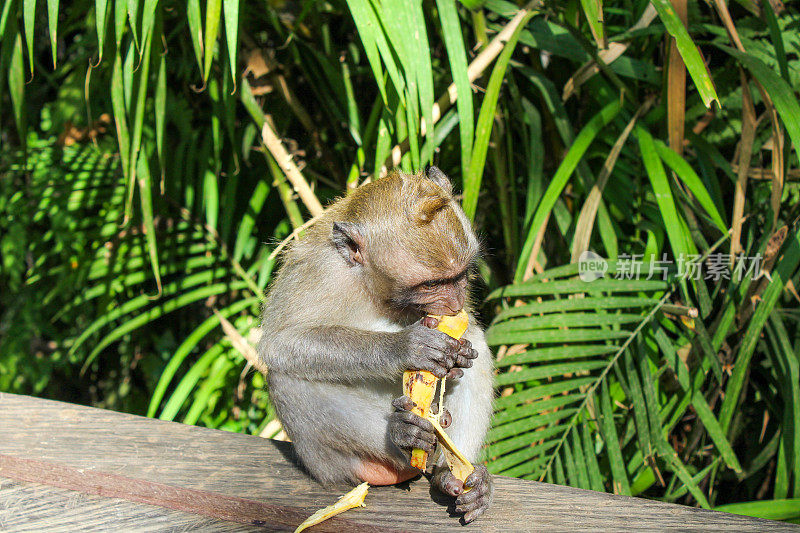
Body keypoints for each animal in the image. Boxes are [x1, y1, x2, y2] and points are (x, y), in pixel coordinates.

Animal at [258, 166, 494, 524]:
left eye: (461, 275)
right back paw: (402, 437)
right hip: (328, 466)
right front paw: (405, 347)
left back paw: (456, 476)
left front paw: (458, 359)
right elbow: (280, 342)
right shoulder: (321, 270)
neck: (374, 288)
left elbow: (470, 339)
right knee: (286, 380)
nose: (454, 305)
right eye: (430, 284)